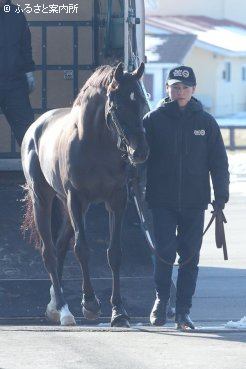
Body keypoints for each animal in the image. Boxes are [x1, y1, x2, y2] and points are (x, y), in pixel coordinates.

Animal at [21, 61, 148, 326]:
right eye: (118, 106)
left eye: (141, 101)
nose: (140, 152)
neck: (96, 144)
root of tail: (35, 127)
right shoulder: (76, 199)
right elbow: (82, 249)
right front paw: (90, 304)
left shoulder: (117, 200)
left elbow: (115, 253)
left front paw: (119, 311)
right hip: (44, 199)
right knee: (49, 252)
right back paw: (63, 309)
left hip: (67, 205)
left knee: (59, 246)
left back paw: (54, 306)